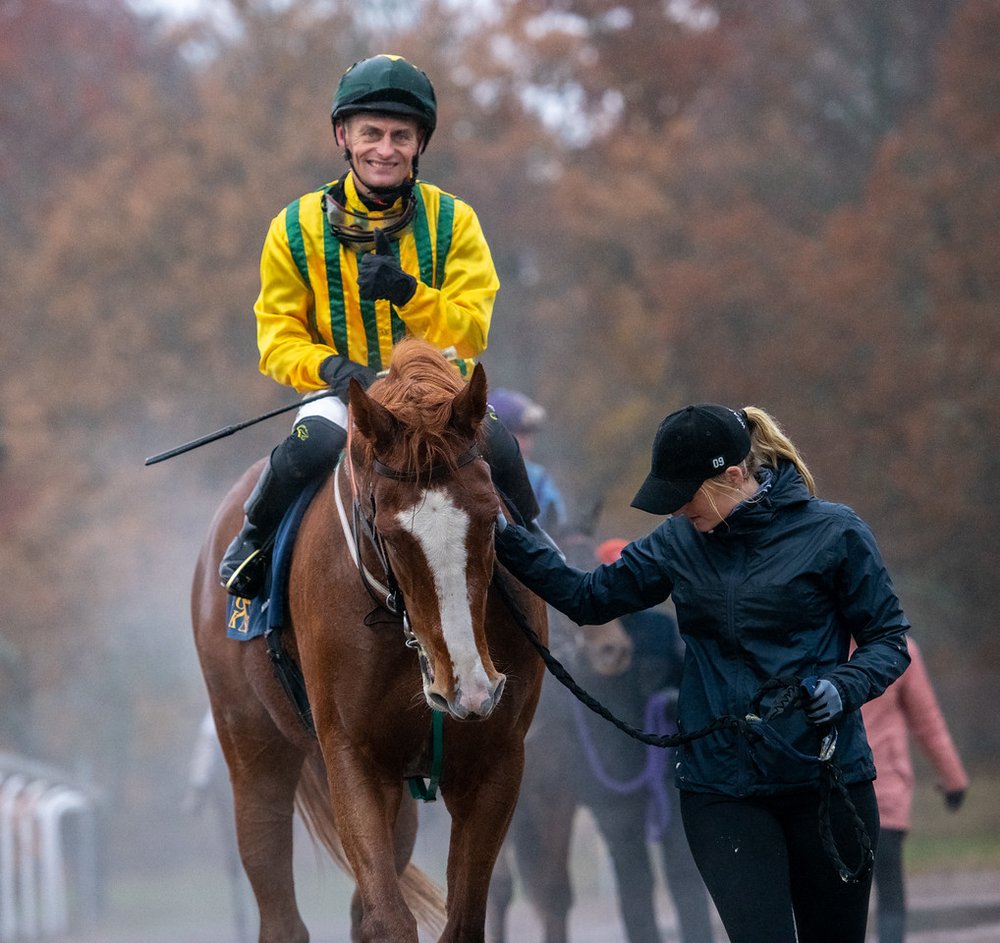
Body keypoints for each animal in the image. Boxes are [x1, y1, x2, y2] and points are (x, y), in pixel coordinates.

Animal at [188, 342, 548, 943]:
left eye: (490, 515)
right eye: (391, 533)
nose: (468, 687)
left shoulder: (496, 761)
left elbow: (460, 918)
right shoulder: (351, 758)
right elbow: (388, 917)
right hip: (253, 753)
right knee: (279, 908)